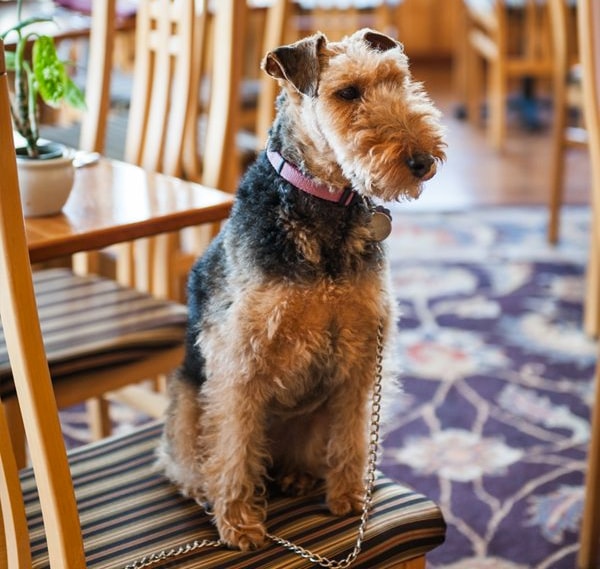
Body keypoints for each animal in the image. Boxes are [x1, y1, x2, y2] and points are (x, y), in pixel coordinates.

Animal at [157, 27, 448, 552]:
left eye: (397, 79)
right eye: (347, 92)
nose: (422, 161)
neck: (323, 201)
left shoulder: (361, 355)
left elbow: (353, 436)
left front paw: (349, 499)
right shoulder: (240, 359)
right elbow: (233, 447)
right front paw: (240, 524)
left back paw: (297, 477)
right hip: (190, 398)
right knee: (190, 458)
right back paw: (204, 490)